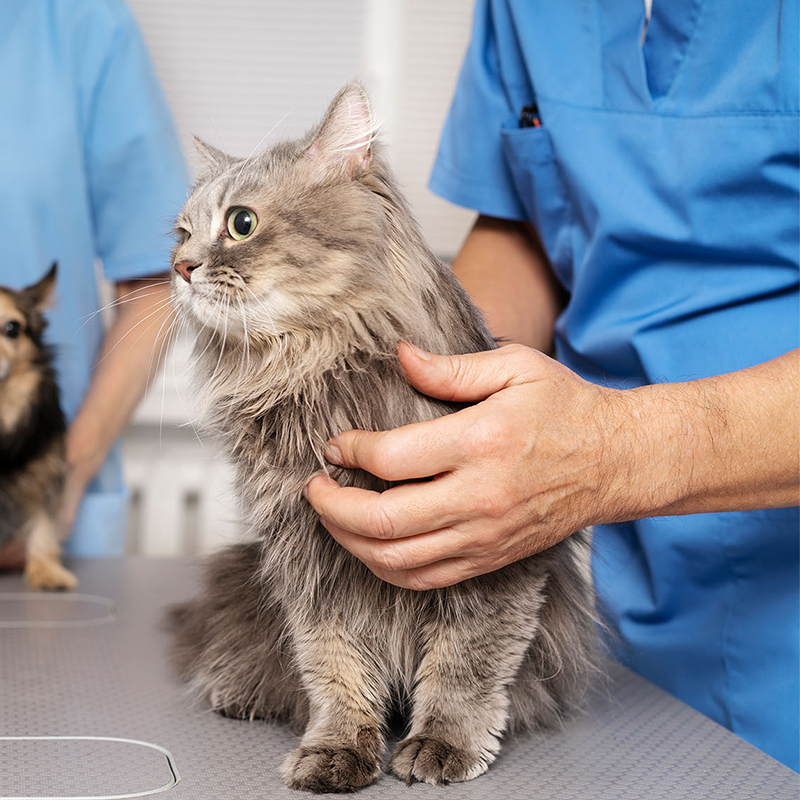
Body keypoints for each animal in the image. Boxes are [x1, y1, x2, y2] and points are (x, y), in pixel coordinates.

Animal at [167, 83, 592, 792]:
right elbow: (335, 671)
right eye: (181, 231)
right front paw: (338, 750)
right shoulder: (311, 565)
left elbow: (465, 666)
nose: (179, 266)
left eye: (241, 223)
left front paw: (442, 744)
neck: (314, 371)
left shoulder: (496, 560)